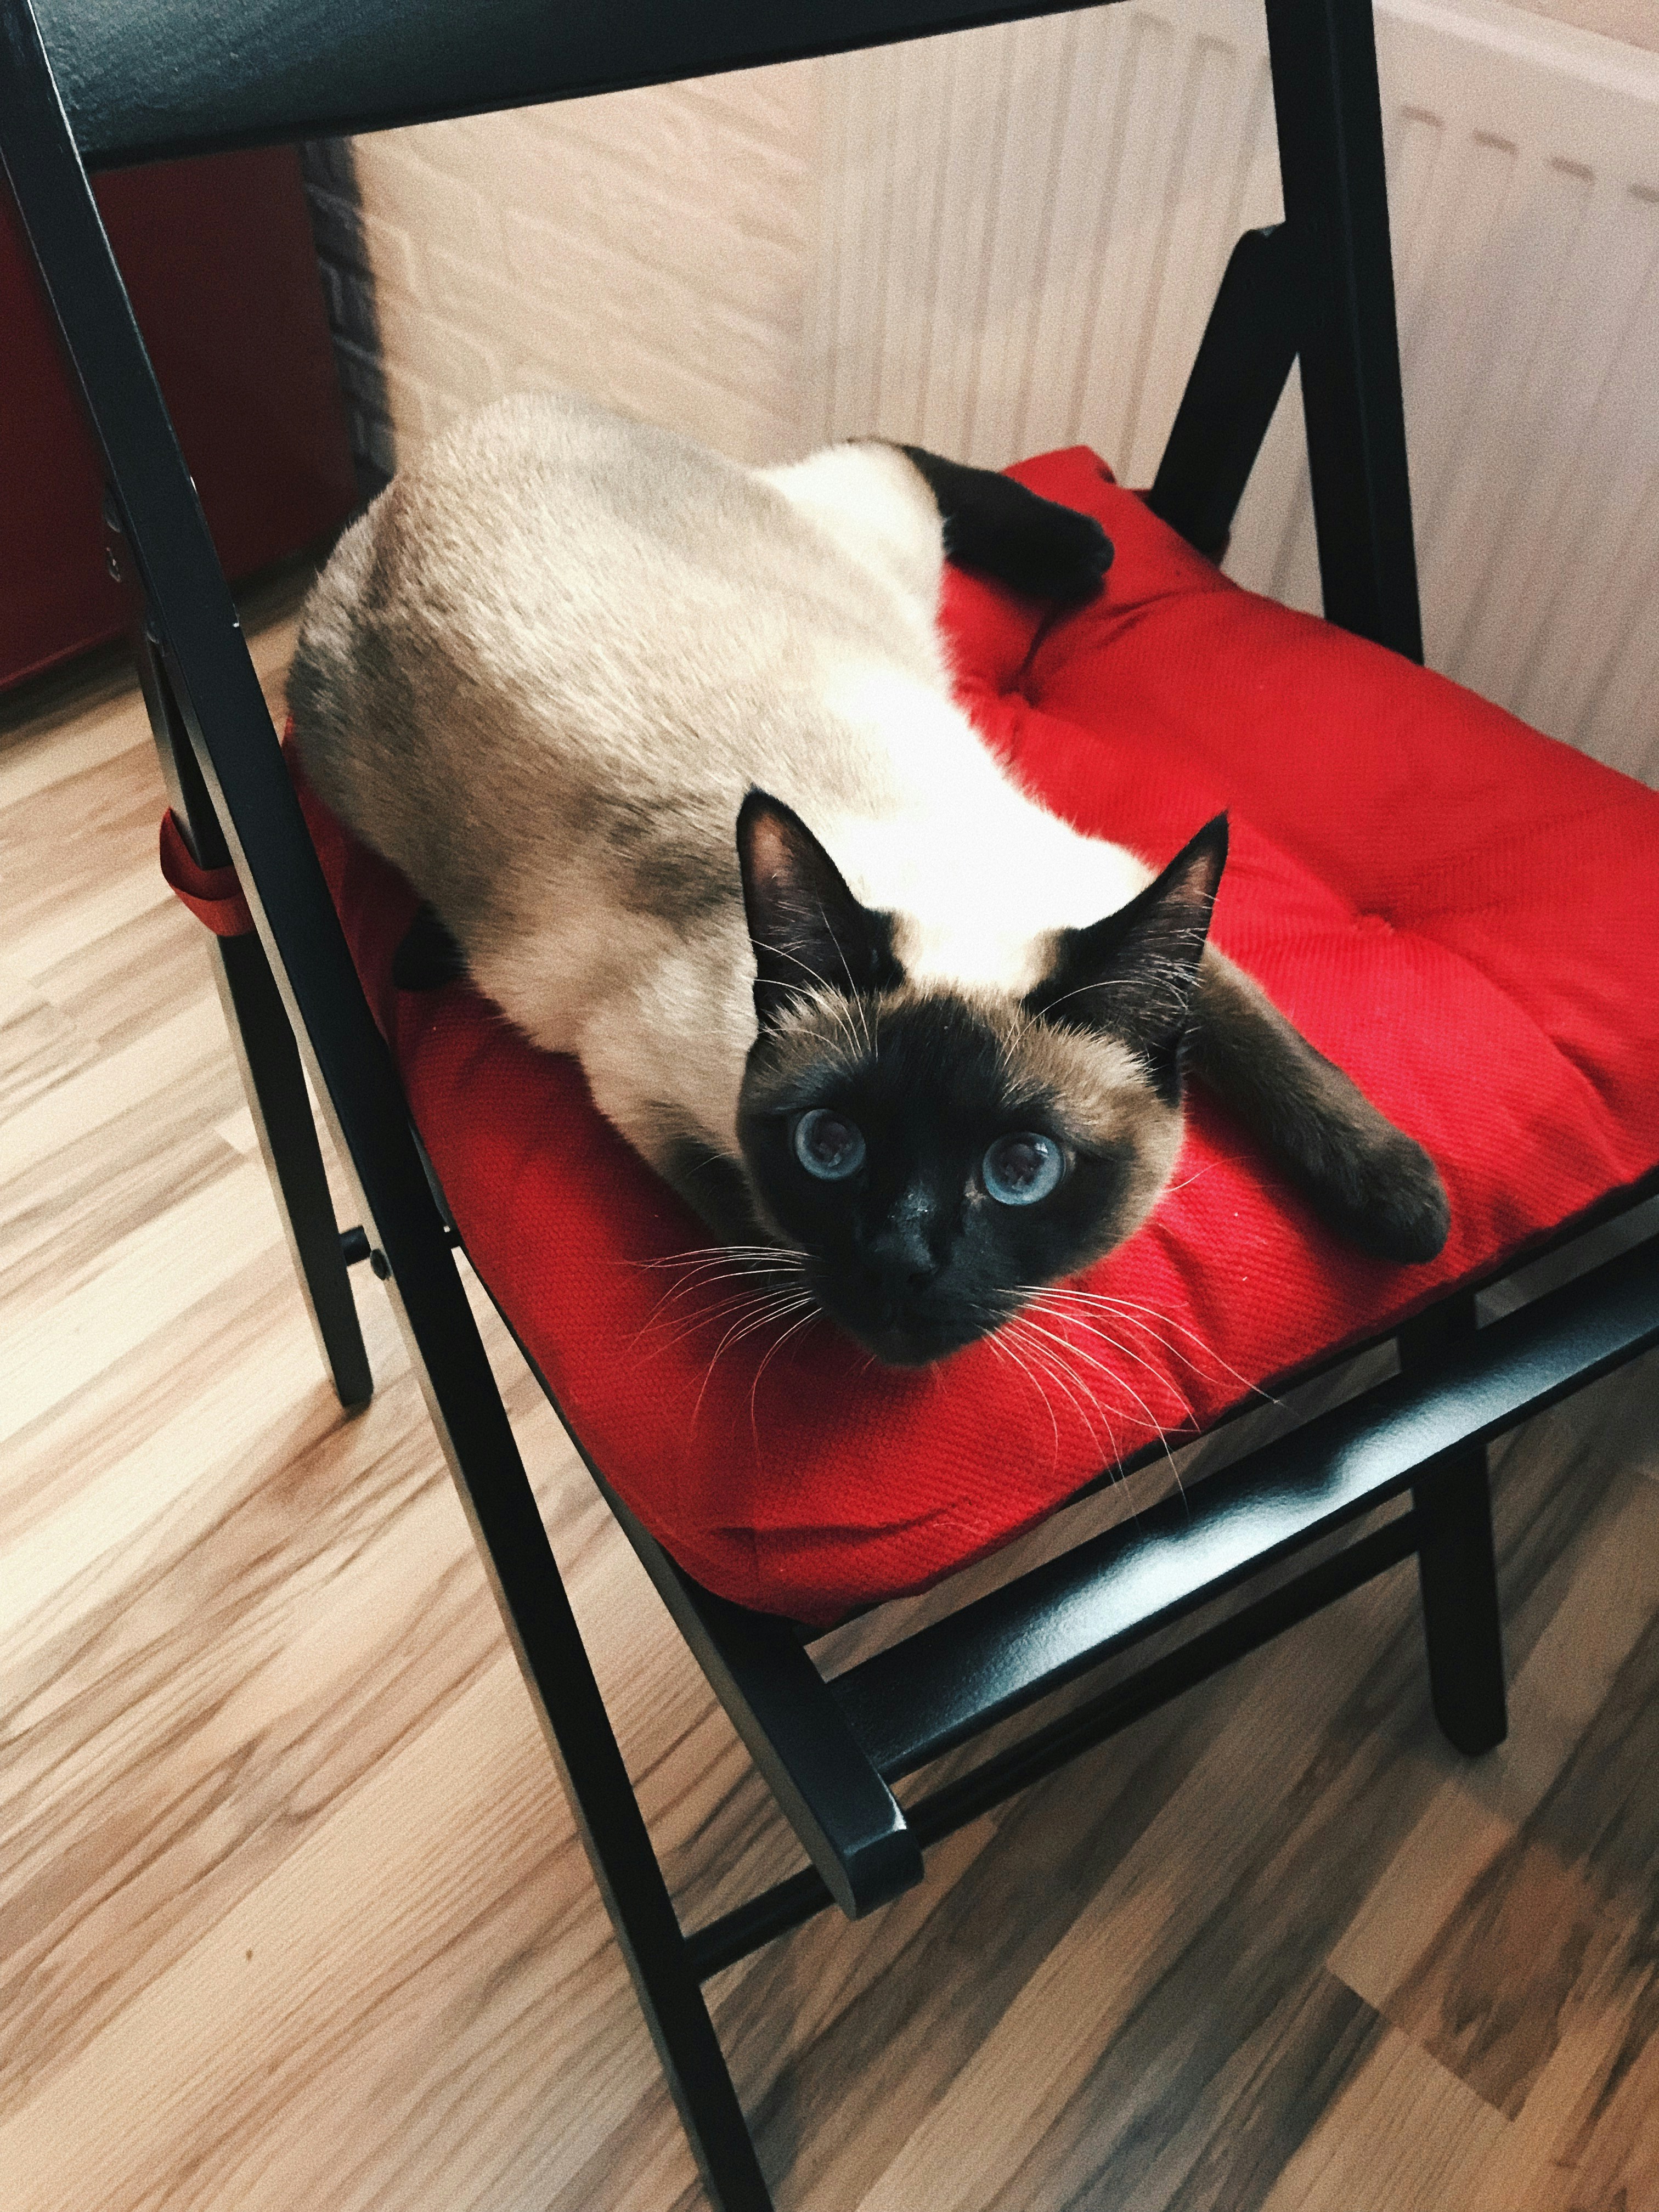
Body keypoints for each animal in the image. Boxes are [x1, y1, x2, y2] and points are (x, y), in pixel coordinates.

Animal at [289, 389, 1448, 1368]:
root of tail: (454, 436)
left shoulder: (1113, 884)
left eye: (1019, 1172)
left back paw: (1083, 550)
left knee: (878, 449)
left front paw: (1403, 1206)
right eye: (832, 1145)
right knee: (878, 445)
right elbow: (756, 1229)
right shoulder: (633, 1081)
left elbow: (1282, 1056)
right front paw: (848, 1323)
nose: (901, 1269)